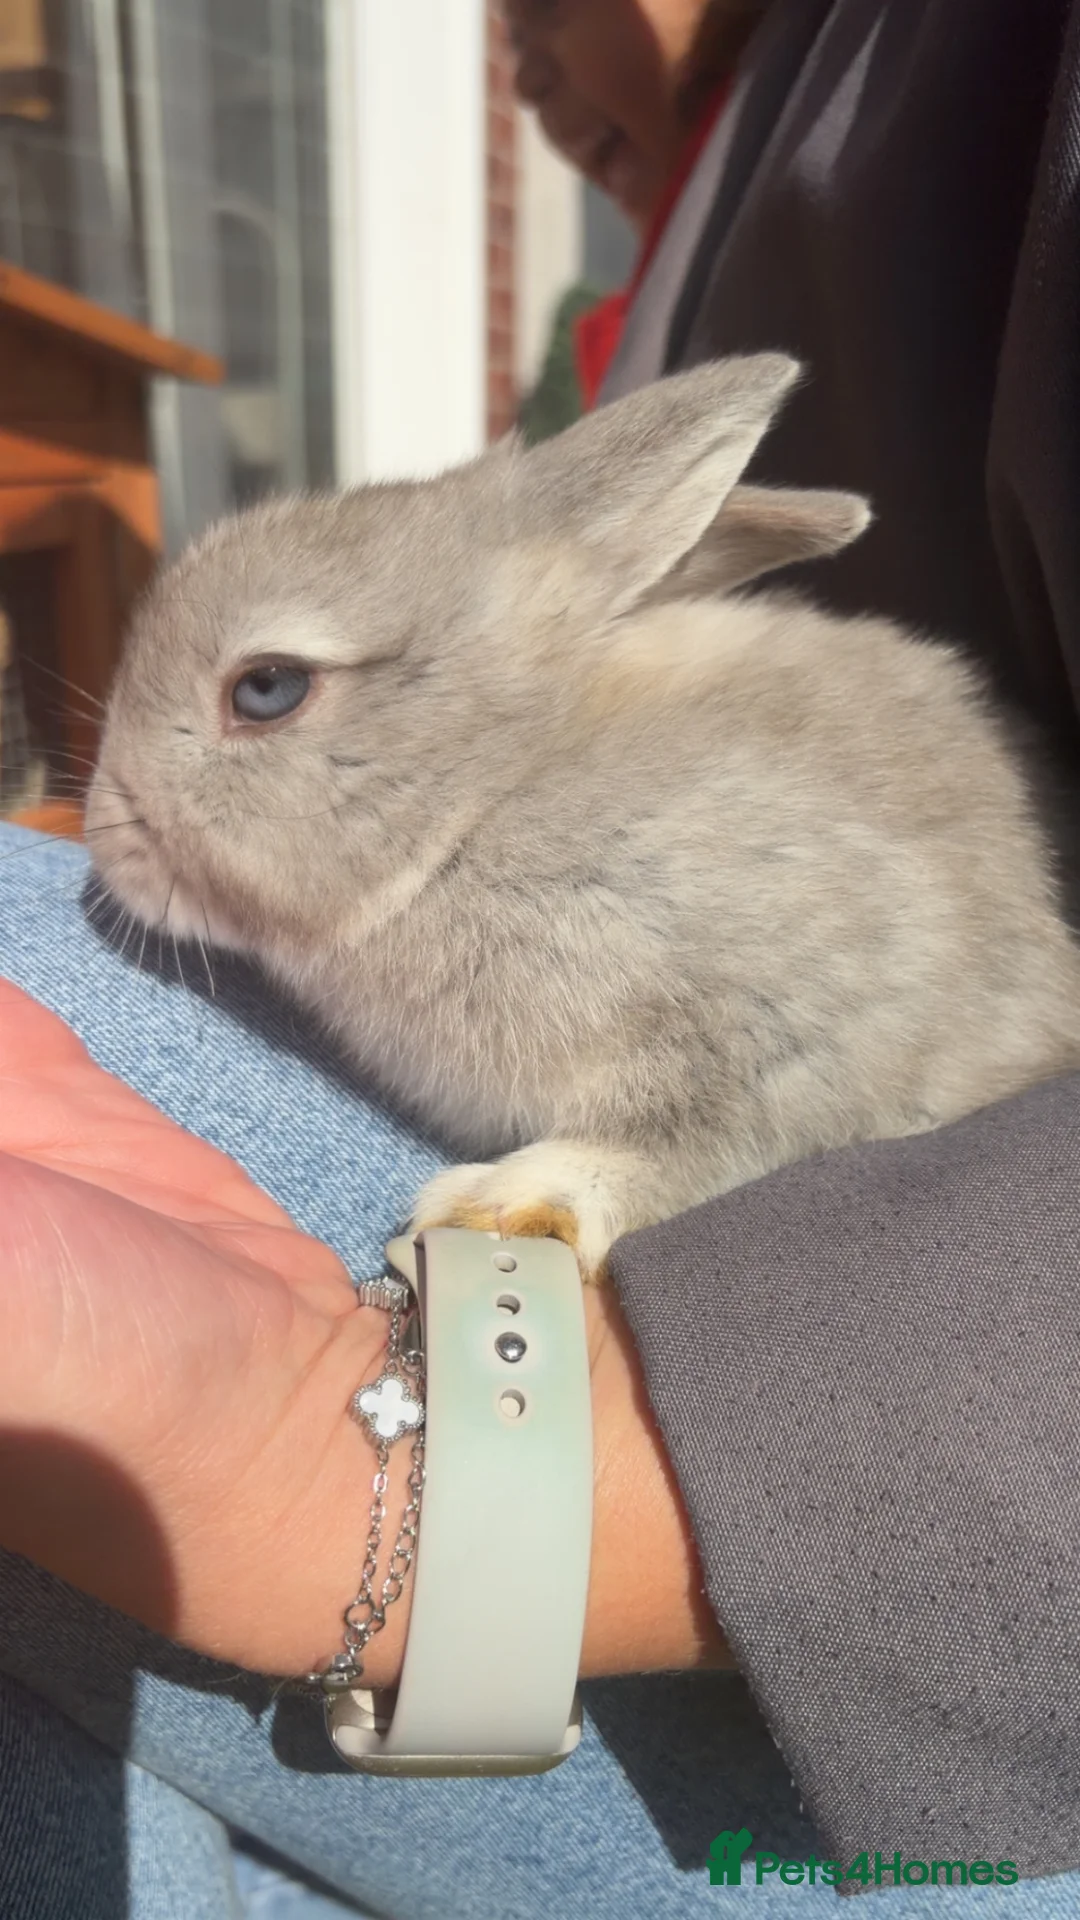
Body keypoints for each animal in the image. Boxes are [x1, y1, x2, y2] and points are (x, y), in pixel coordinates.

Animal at [85, 354, 1080, 1281]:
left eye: (267, 688)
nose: (103, 834)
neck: (485, 798)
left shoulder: (801, 1024)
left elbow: (693, 1140)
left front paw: (506, 1200)